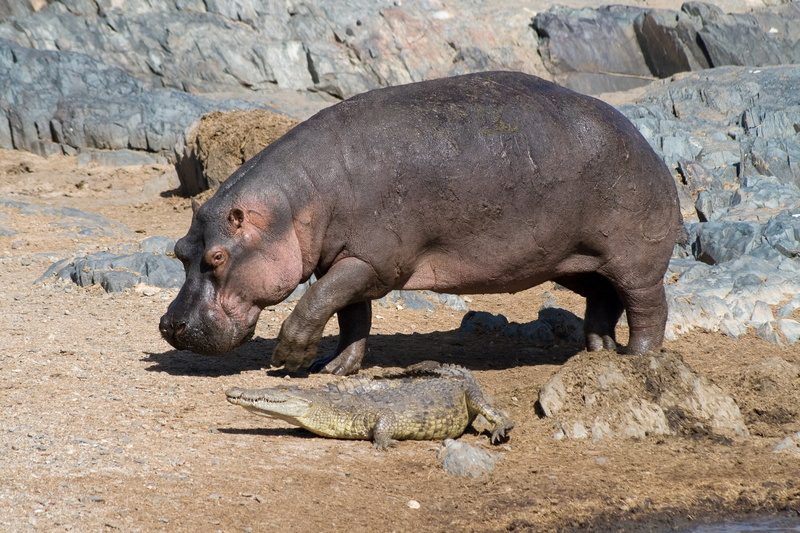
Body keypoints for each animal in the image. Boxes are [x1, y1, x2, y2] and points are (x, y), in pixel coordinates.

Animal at [160, 71, 684, 375]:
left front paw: (290, 361)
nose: (169, 325)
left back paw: (637, 359)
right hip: (577, 261)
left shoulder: (370, 261)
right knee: (603, 300)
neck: (292, 205)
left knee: (647, 307)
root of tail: (643, 140)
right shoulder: (348, 260)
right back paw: (597, 352)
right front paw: (335, 367)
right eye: (180, 252)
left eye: (217, 256)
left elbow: (316, 303)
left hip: (633, 260)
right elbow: (350, 316)